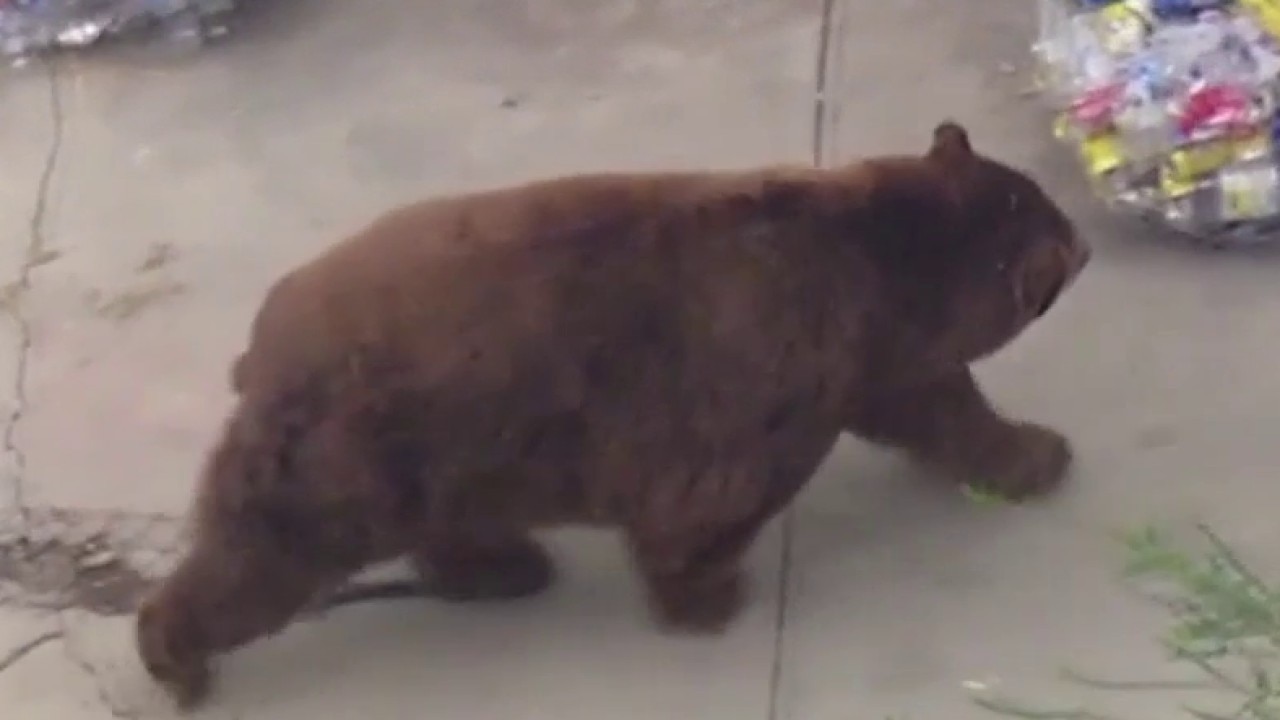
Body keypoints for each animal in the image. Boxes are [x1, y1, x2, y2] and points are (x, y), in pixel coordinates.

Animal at [136, 121, 1090, 710]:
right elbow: (707, 502)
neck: (883, 266)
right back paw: (176, 657)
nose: (1083, 246)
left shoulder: (876, 358)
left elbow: (943, 407)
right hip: (349, 452)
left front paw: (1035, 453)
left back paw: (504, 568)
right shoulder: (772, 371)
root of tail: (259, 345)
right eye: (1059, 226)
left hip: (447, 455)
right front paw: (707, 597)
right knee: (258, 561)